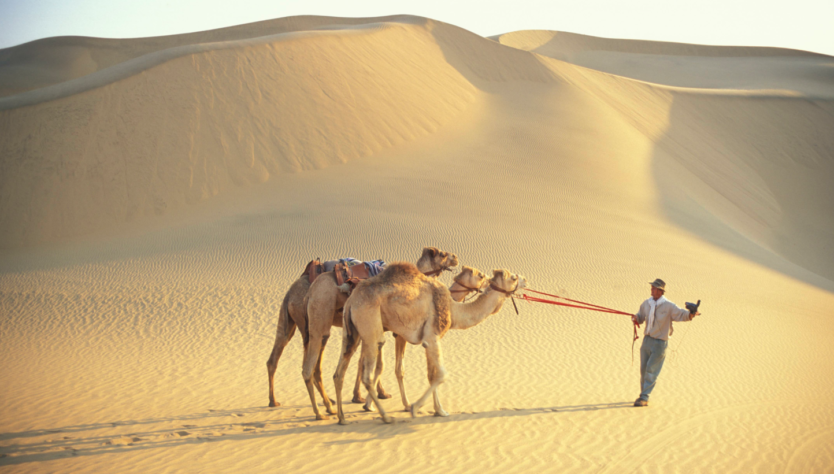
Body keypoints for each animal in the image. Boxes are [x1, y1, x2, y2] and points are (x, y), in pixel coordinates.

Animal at [266, 247, 458, 417]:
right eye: (442, 254)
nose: (455, 257)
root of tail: (292, 292)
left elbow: (365, 361)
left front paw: (362, 397)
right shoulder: (393, 332)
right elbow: (388, 366)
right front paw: (396, 401)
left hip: (290, 321)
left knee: (277, 356)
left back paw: (277, 401)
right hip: (316, 320)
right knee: (311, 363)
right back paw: (326, 407)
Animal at [334, 263, 527, 425]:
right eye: (513, 278)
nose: (525, 279)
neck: (453, 309)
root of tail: (352, 300)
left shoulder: (427, 339)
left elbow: (431, 375)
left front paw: (438, 410)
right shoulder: (432, 336)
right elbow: (441, 374)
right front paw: (416, 407)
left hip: (351, 333)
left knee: (339, 372)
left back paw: (342, 418)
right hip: (370, 325)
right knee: (367, 373)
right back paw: (385, 417)